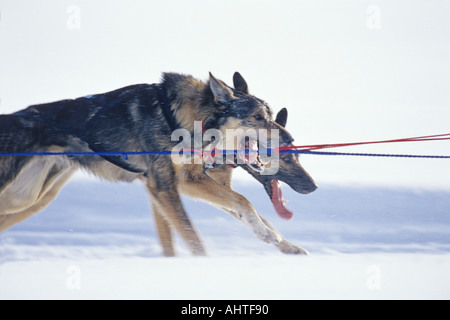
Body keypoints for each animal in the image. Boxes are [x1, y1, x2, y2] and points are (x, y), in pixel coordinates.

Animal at [0, 72, 316, 255]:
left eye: (271, 114)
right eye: (258, 117)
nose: (287, 136)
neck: (180, 119)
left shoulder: (185, 183)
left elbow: (246, 208)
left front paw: (279, 240)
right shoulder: (166, 187)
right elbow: (199, 234)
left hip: (30, 198)